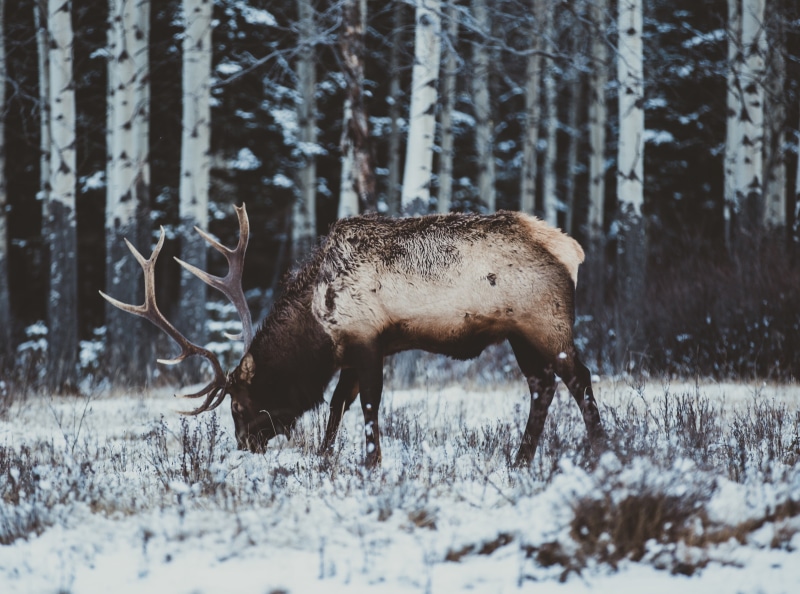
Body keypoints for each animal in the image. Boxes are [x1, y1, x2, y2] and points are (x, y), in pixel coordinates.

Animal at [101, 204, 605, 468]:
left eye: (240, 405)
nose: (245, 445)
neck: (316, 323)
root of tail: (573, 250)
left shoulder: (368, 341)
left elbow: (366, 404)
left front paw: (371, 461)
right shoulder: (350, 351)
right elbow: (338, 403)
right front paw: (325, 458)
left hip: (546, 322)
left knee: (578, 378)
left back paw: (599, 448)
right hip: (520, 335)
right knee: (542, 386)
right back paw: (521, 458)